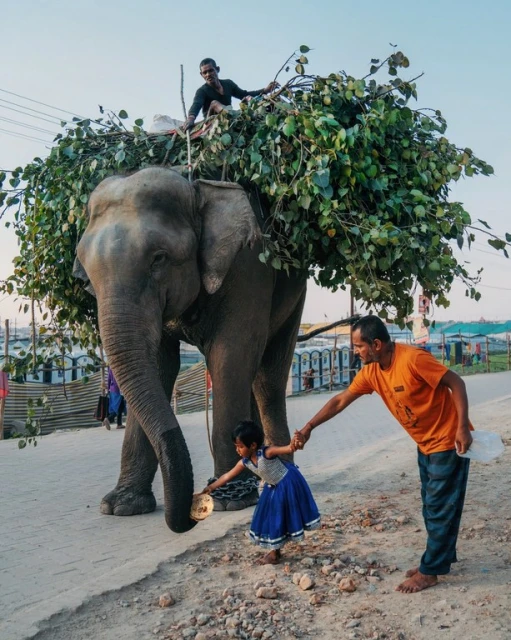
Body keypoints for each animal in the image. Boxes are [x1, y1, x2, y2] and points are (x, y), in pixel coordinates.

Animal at [74, 167, 308, 533]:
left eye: (159, 258)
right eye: (86, 278)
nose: (191, 513)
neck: (196, 191)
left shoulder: (249, 267)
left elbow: (230, 356)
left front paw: (230, 501)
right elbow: (158, 364)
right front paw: (120, 506)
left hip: (296, 292)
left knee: (267, 378)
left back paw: (278, 470)